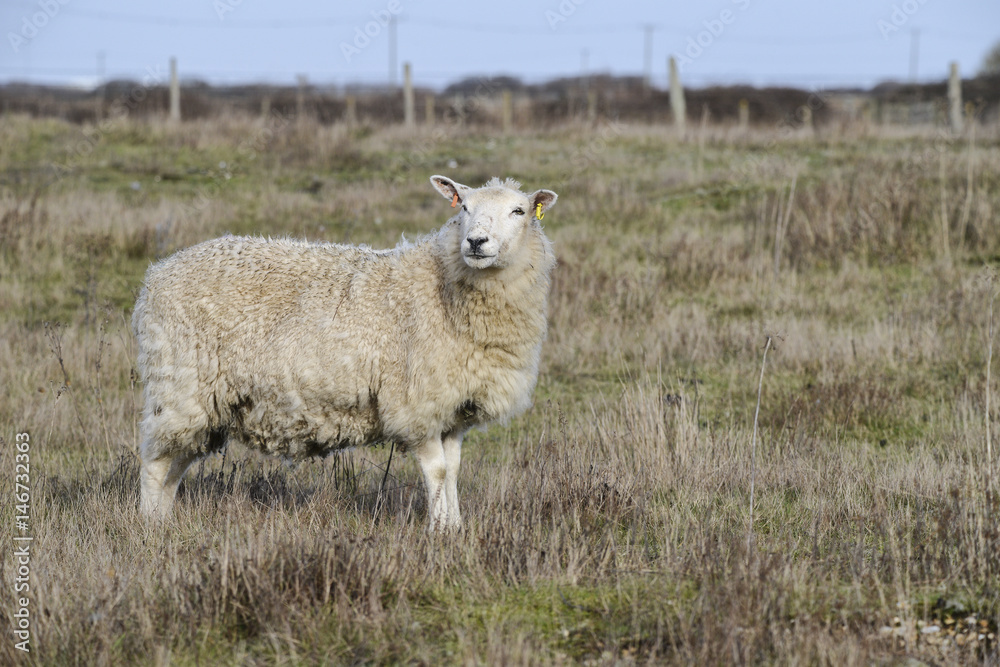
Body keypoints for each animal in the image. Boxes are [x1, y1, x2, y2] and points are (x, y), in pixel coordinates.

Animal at [131, 175, 564, 528]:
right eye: (464, 207)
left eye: (519, 210)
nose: (475, 242)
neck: (443, 288)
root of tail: (156, 275)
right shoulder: (416, 404)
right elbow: (438, 472)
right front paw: (438, 531)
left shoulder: (454, 407)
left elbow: (454, 470)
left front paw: (454, 527)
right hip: (179, 382)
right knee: (155, 461)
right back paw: (150, 526)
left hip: (207, 402)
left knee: (177, 461)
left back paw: (164, 518)